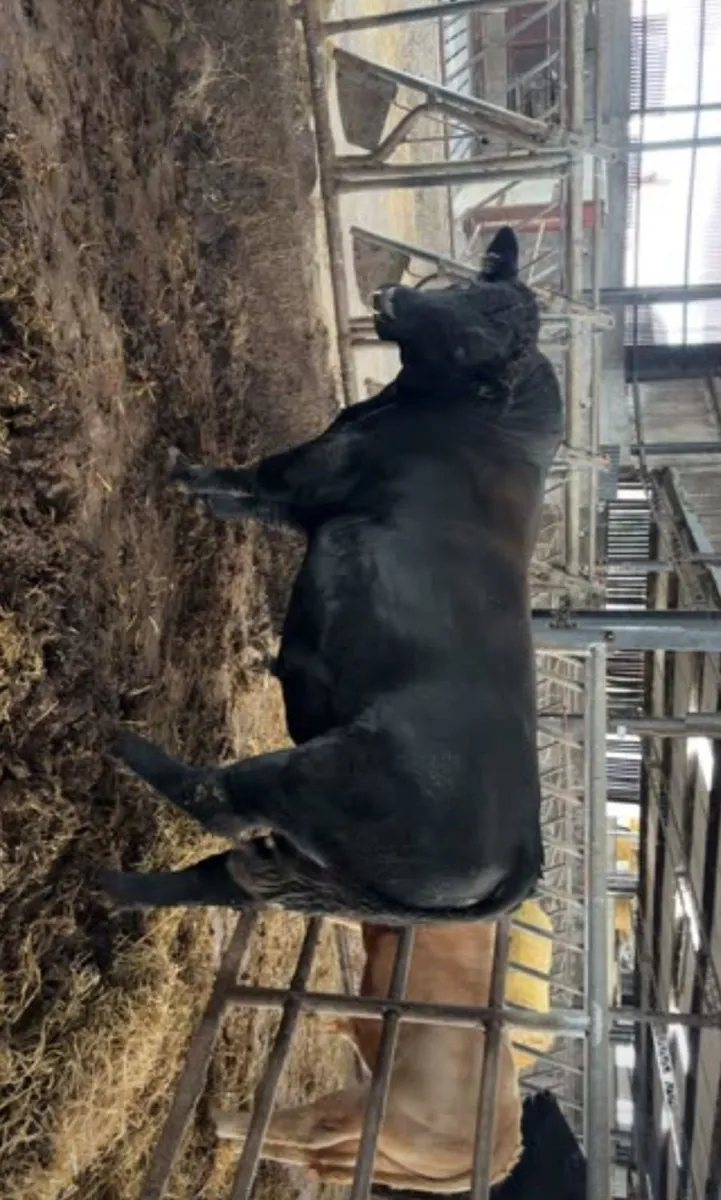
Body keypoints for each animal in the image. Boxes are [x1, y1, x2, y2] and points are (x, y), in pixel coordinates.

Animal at [101, 225, 564, 924]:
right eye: (462, 289)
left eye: (469, 343)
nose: (391, 295)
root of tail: (523, 856)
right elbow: (253, 498)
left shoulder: (319, 467)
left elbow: (257, 475)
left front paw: (181, 467)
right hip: (314, 868)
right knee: (229, 876)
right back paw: (106, 885)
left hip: (325, 778)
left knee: (220, 803)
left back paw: (121, 739)